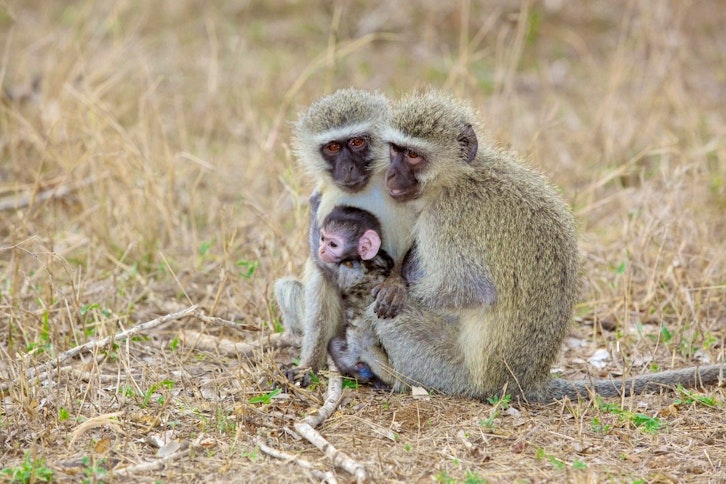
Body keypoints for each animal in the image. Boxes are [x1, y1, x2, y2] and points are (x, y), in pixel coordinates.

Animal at [315, 205, 394, 386]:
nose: (321, 249)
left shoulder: (349, 269)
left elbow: (329, 270)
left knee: (334, 345)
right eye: (323, 238)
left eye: (333, 244)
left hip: (354, 353)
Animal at [362, 90, 725, 403]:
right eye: (395, 150)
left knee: (394, 320)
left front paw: (394, 287)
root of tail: (528, 380)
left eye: (412, 156)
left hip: (455, 373)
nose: (390, 176)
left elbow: (468, 289)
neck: (459, 177)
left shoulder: (445, 219)